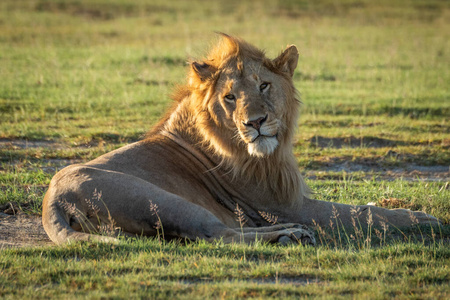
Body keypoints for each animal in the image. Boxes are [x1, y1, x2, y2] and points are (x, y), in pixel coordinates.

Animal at [43, 34, 440, 246]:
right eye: (230, 97)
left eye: (264, 85)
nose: (256, 122)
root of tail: (53, 202)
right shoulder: (286, 204)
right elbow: (362, 214)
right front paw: (425, 219)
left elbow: (367, 207)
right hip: (165, 200)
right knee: (220, 235)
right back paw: (291, 234)